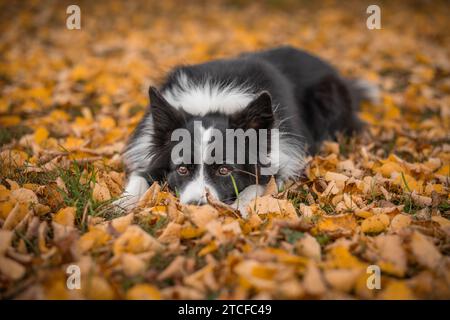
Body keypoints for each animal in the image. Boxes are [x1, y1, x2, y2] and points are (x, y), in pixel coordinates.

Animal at [118, 45, 378, 215]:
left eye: (224, 170)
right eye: (181, 169)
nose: (196, 209)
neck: (213, 104)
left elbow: (258, 185)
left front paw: (239, 208)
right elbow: (140, 176)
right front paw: (121, 204)